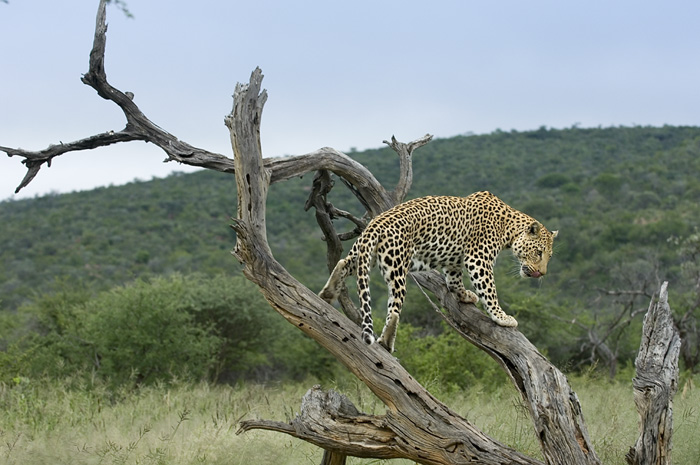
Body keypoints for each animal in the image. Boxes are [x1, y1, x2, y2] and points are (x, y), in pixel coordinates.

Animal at [322, 189, 556, 352]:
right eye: (539, 252)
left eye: (549, 256)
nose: (542, 273)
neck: (508, 227)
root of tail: (375, 224)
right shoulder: (479, 259)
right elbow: (489, 290)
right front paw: (502, 317)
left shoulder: (455, 261)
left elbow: (454, 280)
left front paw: (465, 295)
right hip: (396, 266)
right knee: (394, 310)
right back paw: (387, 342)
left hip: (364, 255)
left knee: (343, 263)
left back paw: (328, 293)